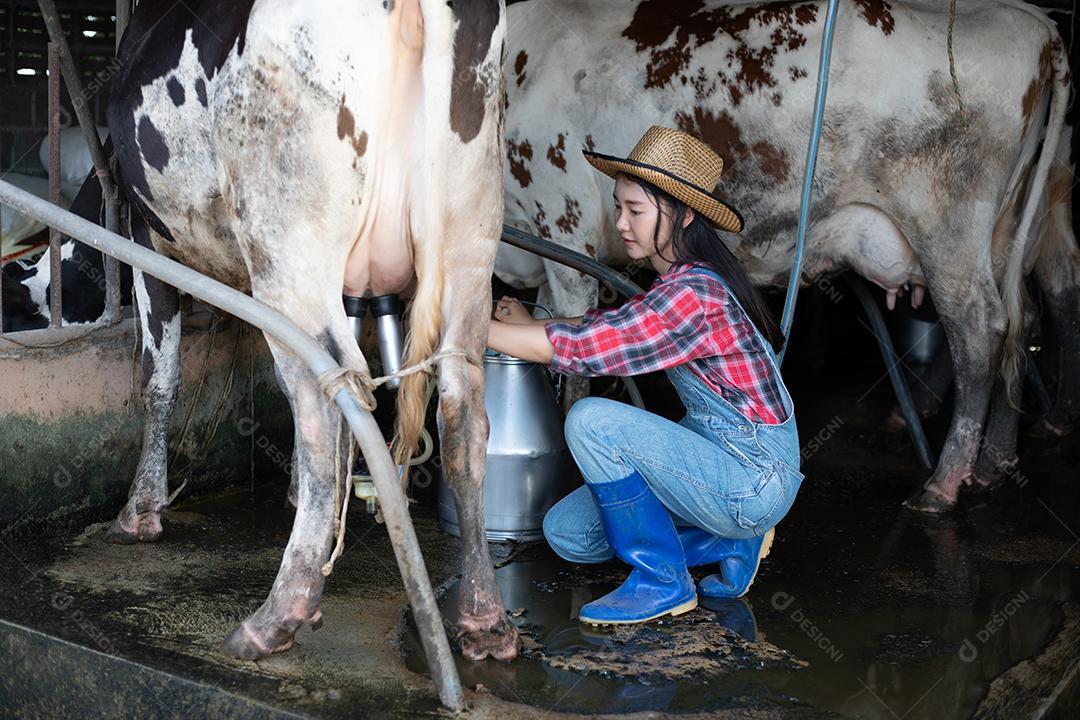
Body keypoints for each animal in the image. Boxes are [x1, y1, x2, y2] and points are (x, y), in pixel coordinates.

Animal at [106, 0, 518, 664]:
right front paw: (299, 491)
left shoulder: (143, 236)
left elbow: (158, 376)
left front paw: (142, 509)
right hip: (469, 238)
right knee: (460, 409)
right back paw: (485, 619)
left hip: (287, 242)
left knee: (328, 402)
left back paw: (279, 613)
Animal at [494, 1, 1071, 518]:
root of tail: (1033, 21)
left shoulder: (563, 223)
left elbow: (571, 359)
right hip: (1006, 232)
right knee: (1027, 317)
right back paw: (995, 464)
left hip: (948, 228)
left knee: (980, 332)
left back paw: (943, 484)